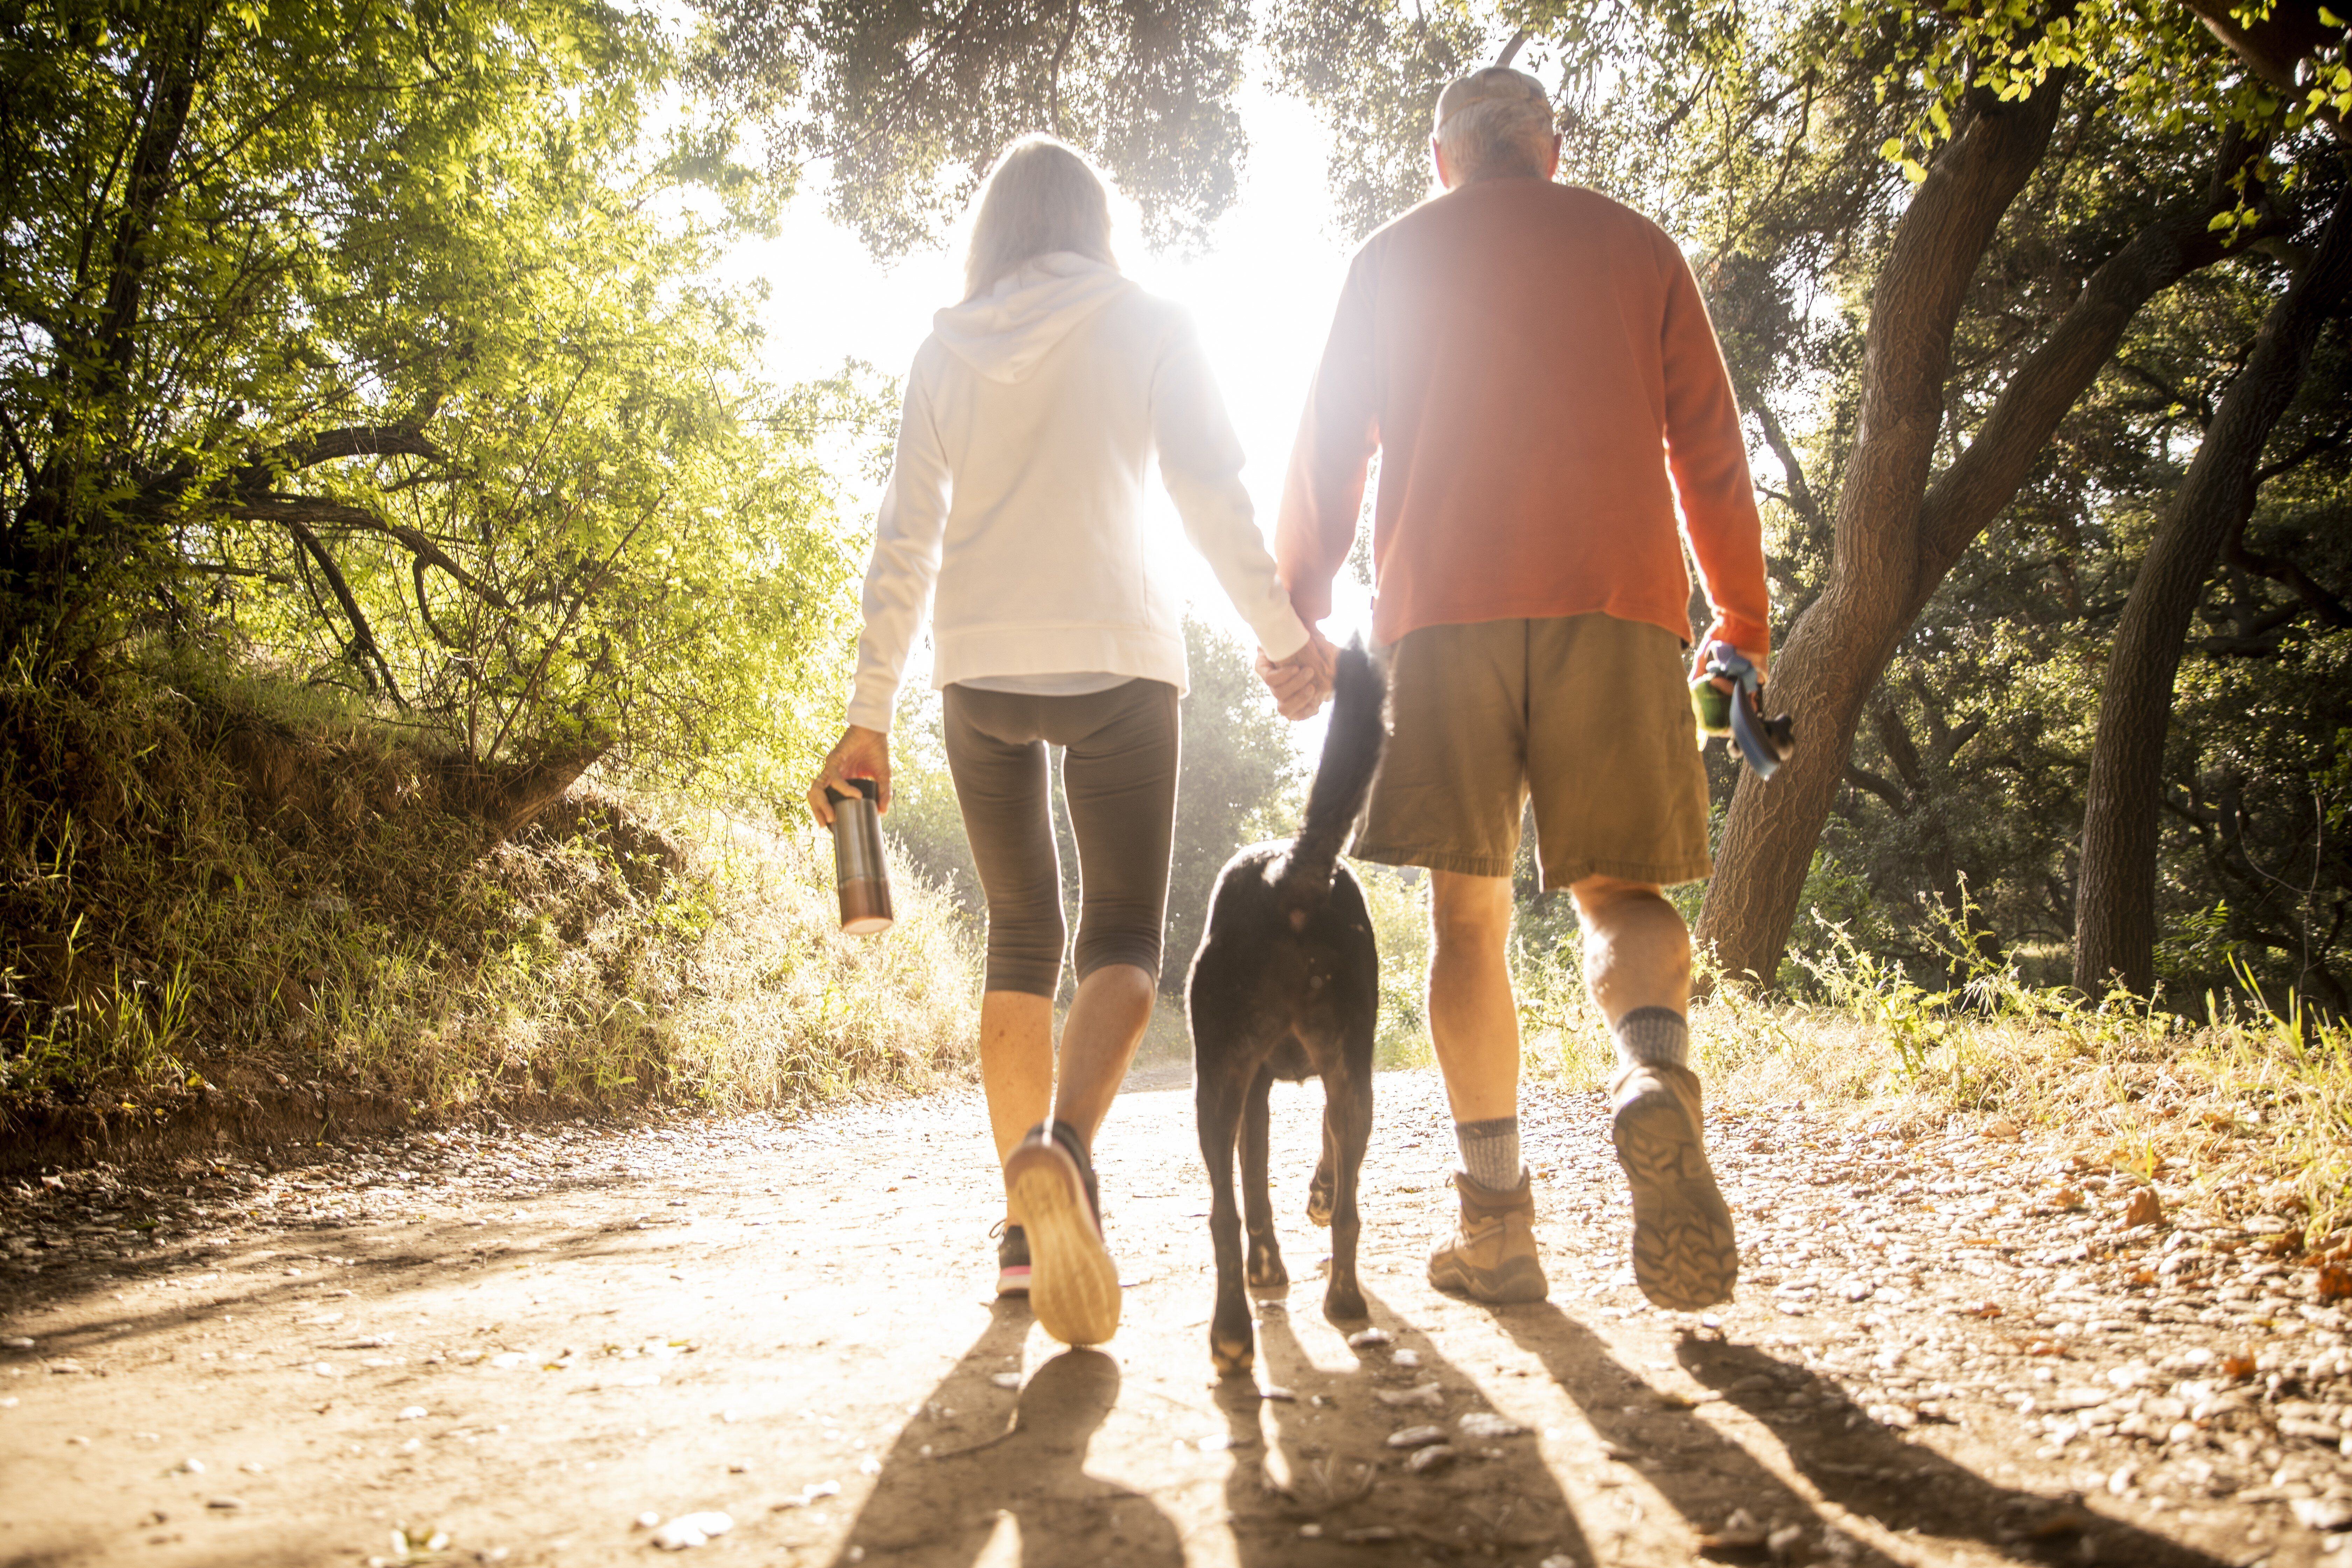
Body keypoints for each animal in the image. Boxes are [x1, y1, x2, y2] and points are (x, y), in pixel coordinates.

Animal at [1185, 639, 1383, 1373]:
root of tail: (1291, 872)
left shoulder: (1254, 1090)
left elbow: (1254, 1188)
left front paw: (1266, 1267)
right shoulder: (1304, 1081)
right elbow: (1318, 1159)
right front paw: (1315, 1201)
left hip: (1216, 1083)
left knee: (1222, 1213)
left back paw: (1231, 1334)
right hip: (1351, 1076)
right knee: (1351, 1204)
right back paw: (1345, 1299)